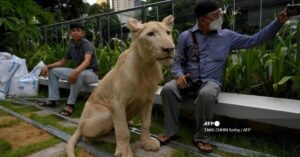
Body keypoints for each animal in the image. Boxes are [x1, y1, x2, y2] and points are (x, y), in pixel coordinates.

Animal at [65, 15, 173, 157]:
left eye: (168, 32)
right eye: (150, 34)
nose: (170, 49)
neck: (146, 66)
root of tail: (79, 125)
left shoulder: (148, 101)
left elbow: (146, 124)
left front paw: (147, 143)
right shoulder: (117, 103)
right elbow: (123, 131)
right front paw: (124, 152)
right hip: (105, 114)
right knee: (88, 137)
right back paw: (114, 139)